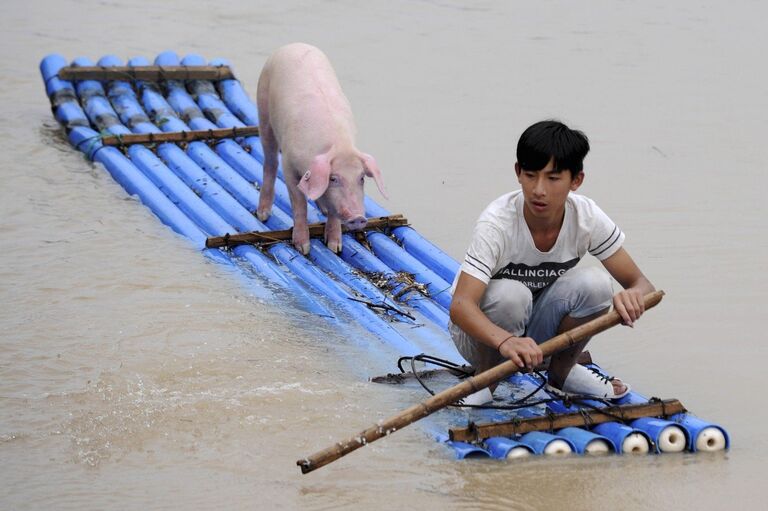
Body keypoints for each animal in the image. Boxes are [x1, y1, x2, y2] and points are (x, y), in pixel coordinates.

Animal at [255, 43, 388, 255]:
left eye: (361, 178)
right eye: (333, 178)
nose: (359, 217)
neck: (338, 145)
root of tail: (295, 44)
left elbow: (331, 210)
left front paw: (335, 247)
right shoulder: (289, 164)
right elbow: (299, 204)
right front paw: (303, 248)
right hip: (264, 111)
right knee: (270, 163)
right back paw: (262, 215)